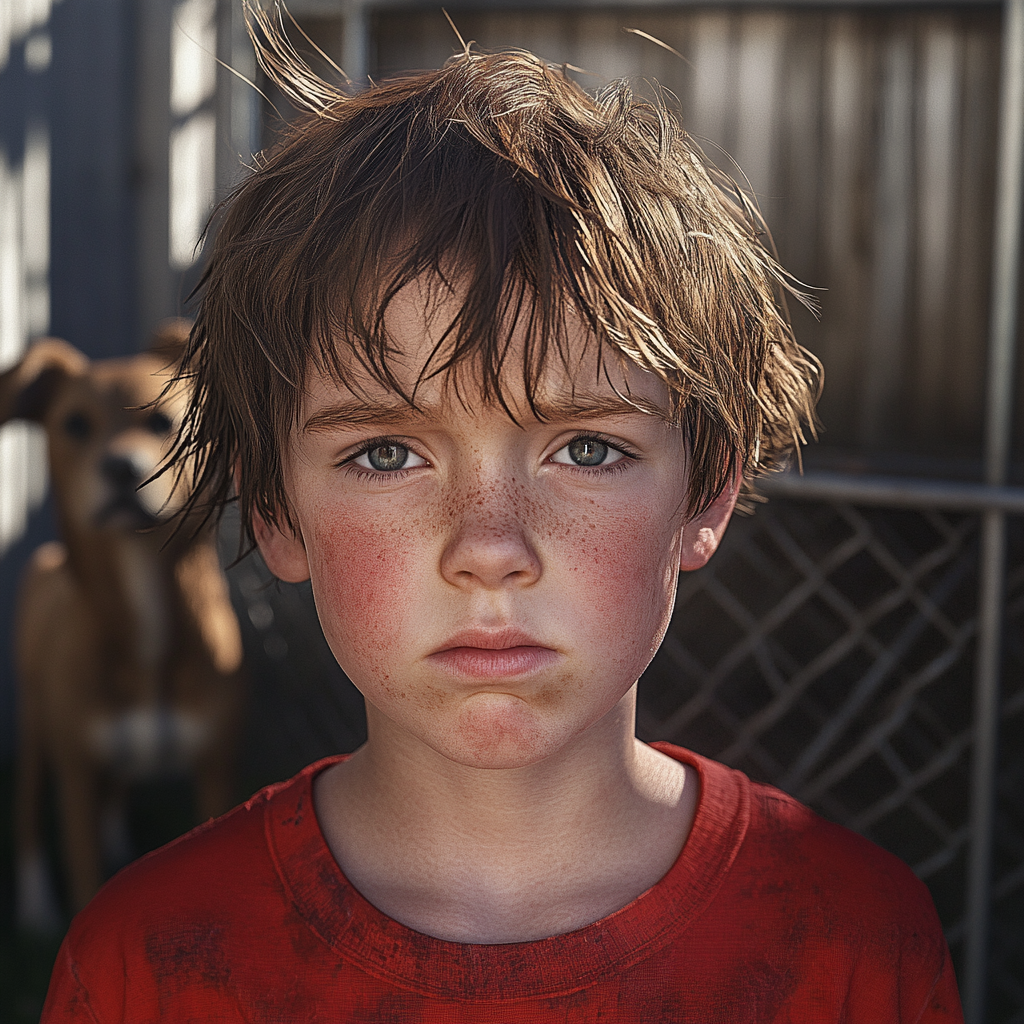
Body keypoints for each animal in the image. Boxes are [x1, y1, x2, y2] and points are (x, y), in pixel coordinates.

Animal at [1, 323, 244, 933]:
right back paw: (35, 906)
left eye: (164, 421)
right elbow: (84, 872)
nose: (120, 468)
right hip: (35, 725)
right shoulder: (77, 776)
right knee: (28, 808)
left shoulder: (216, 766)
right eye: (75, 424)